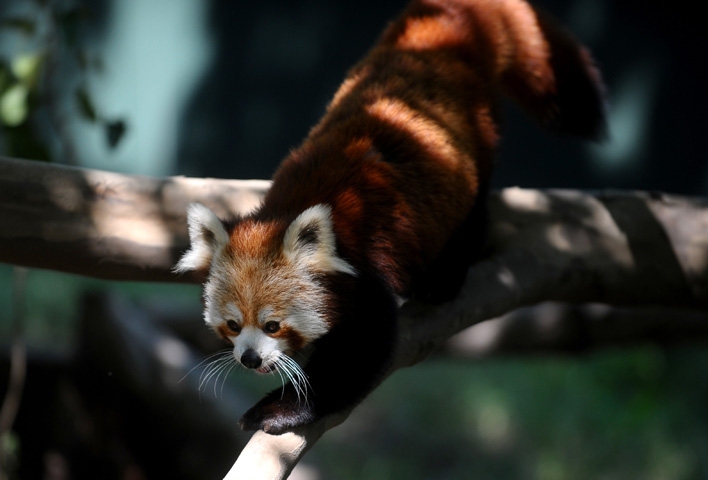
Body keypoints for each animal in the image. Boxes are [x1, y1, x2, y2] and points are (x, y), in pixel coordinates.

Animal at [174, 0, 604, 436]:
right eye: (232, 324)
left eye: (272, 325)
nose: (250, 359)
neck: (286, 211)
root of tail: (443, 38)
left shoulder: (365, 269)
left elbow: (361, 349)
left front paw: (281, 409)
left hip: (476, 148)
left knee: (472, 212)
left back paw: (444, 277)